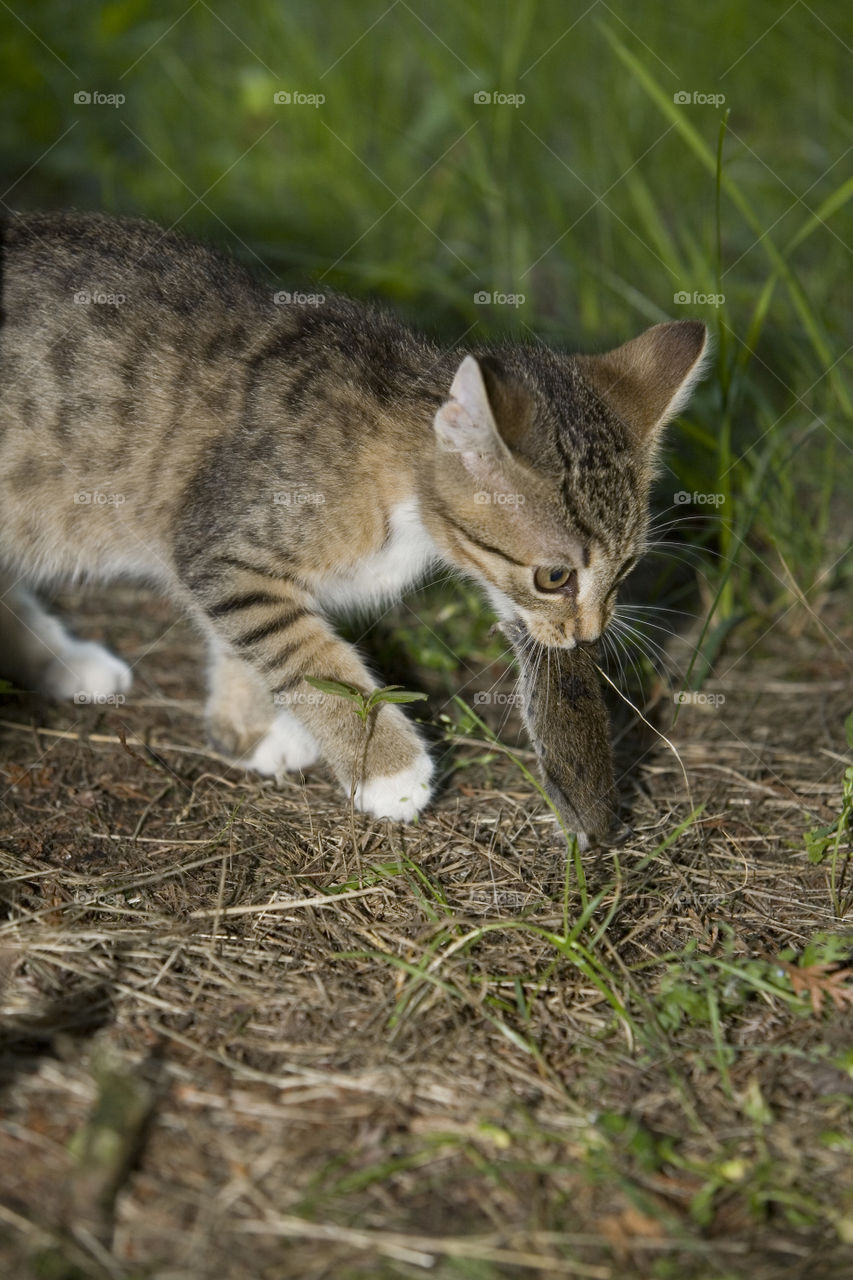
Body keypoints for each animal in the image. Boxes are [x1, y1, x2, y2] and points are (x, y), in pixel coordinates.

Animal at [0, 211, 701, 839]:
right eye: (554, 577)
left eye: (627, 570)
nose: (590, 635)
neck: (396, 467)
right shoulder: (222, 547)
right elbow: (296, 646)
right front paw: (386, 766)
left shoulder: (210, 553)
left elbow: (236, 638)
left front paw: (245, 725)